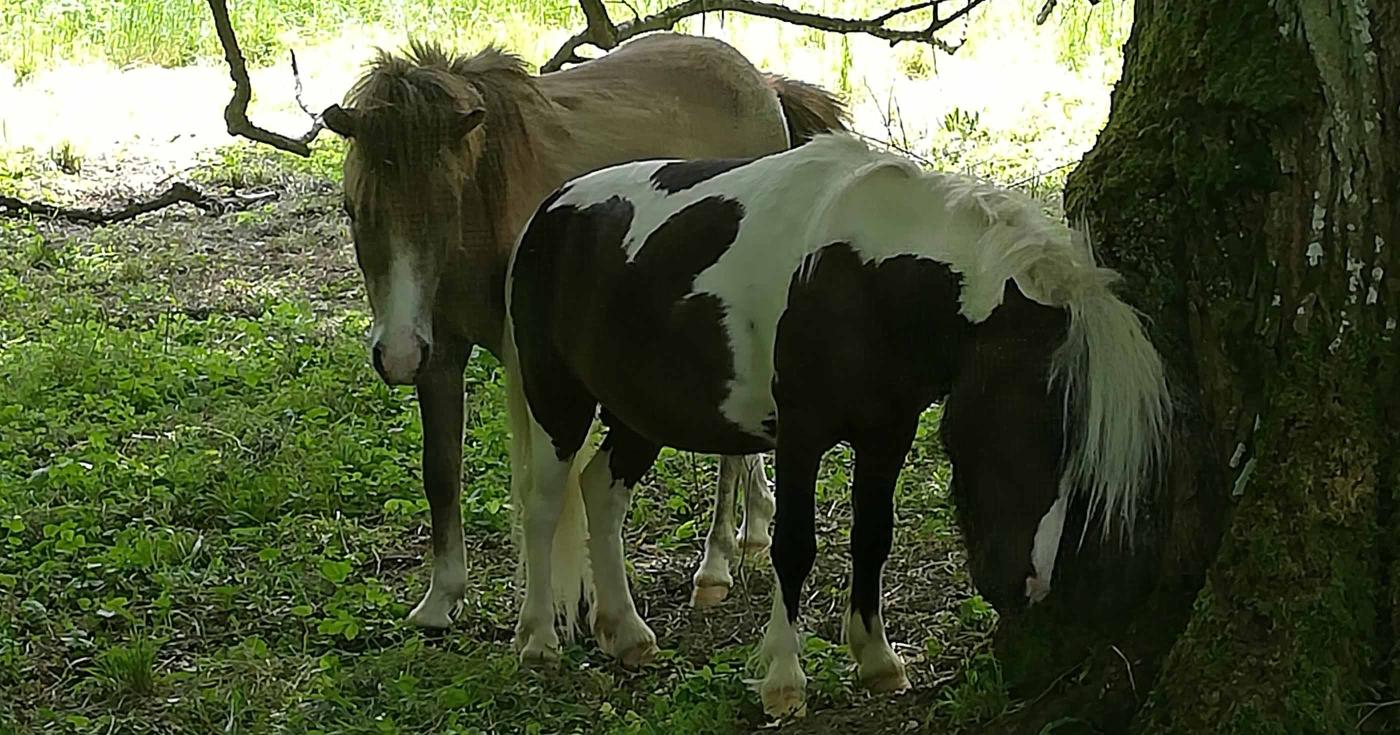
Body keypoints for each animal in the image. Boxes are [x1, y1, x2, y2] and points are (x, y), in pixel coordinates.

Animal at [498, 134, 1164, 714]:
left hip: (641, 411)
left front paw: (878, 661)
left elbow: (873, 537)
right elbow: (794, 547)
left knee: (602, 493)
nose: (1026, 586)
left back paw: (627, 632)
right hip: (557, 399)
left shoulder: (886, 436)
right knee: (544, 505)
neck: (863, 280)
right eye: (1023, 424)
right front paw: (783, 680)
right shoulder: (801, 435)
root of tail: (551, 211)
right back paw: (537, 641)